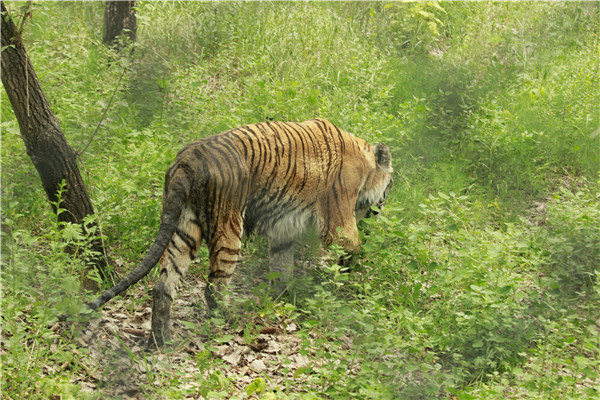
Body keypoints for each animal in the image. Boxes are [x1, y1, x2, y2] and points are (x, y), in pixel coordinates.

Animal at [86, 117, 392, 346]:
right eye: (390, 185)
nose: (384, 205)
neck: (364, 159)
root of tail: (188, 158)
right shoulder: (339, 219)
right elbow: (354, 248)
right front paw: (347, 283)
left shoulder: (283, 230)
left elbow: (282, 265)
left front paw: (283, 296)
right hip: (229, 227)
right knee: (214, 286)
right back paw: (227, 321)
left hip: (184, 228)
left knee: (163, 285)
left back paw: (163, 340)